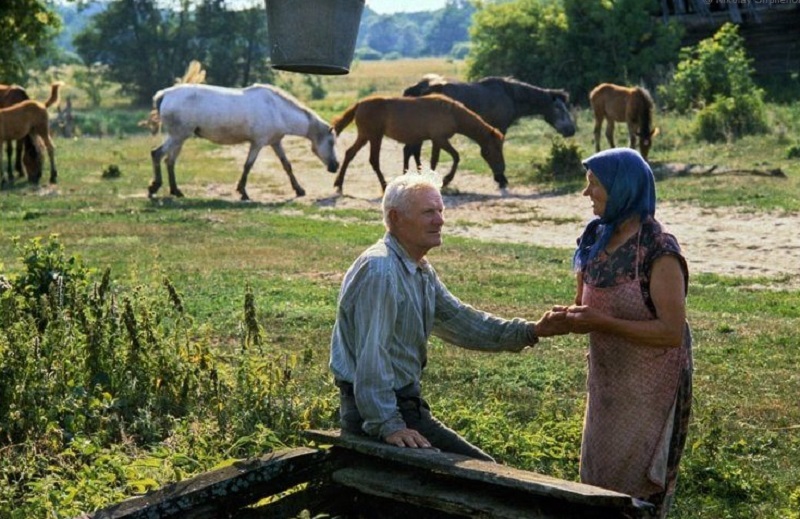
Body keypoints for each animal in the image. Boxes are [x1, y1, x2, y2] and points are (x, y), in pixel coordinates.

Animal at [149, 83, 338, 201]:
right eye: (331, 142)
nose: (335, 166)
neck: (277, 110)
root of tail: (165, 94)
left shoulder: (275, 143)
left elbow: (287, 165)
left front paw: (299, 190)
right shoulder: (257, 144)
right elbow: (248, 166)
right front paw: (243, 192)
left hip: (178, 138)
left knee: (169, 161)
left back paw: (176, 191)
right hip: (178, 136)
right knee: (157, 154)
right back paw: (154, 188)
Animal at [332, 93, 506, 193]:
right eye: (496, 149)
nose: (502, 175)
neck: (452, 113)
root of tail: (359, 104)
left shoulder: (436, 141)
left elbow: (433, 161)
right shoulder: (440, 139)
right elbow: (455, 157)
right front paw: (446, 180)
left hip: (364, 136)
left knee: (349, 153)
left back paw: (339, 184)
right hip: (374, 137)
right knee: (374, 160)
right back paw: (384, 185)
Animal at [404, 74, 580, 181]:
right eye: (559, 108)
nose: (571, 130)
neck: (510, 95)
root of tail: (418, 87)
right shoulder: (499, 128)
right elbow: (493, 151)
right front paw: (500, 178)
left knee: (411, 151)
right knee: (411, 151)